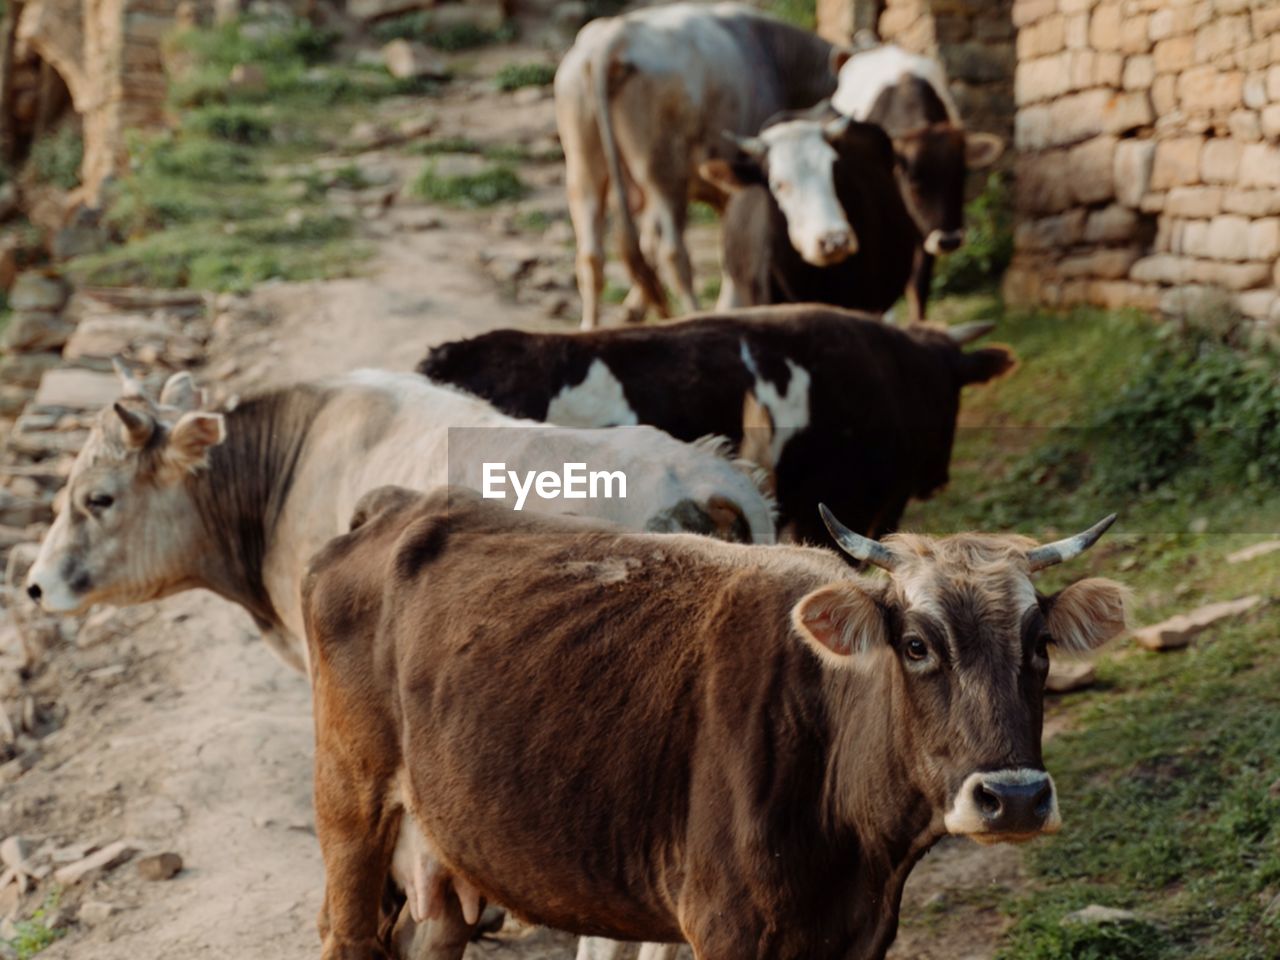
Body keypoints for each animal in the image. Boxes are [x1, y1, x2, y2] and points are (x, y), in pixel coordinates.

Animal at [304, 488, 1126, 960]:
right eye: (918, 644)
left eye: (1040, 645)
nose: (1013, 799)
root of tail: (400, 508)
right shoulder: (729, 930)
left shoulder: (858, 940)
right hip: (351, 802)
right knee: (348, 935)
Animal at [552, 1, 839, 330]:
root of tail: (613, 37)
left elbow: (648, 241)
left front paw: (634, 307)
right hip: (660, 167)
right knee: (673, 252)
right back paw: (693, 313)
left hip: (585, 161)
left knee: (592, 253)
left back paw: (591, 325)